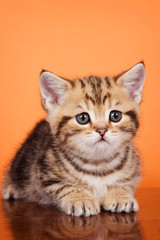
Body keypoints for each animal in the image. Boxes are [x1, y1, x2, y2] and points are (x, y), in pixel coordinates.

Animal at [2, 62, 145, 217]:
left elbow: (125, 183)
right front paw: (81, 198)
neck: (99, 164)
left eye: (115, 116)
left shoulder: (134, 171)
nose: (102, 130)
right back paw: (12, 188)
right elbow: (65, 186)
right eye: (82, 118)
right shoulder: (45, 175)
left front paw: (120, 195)